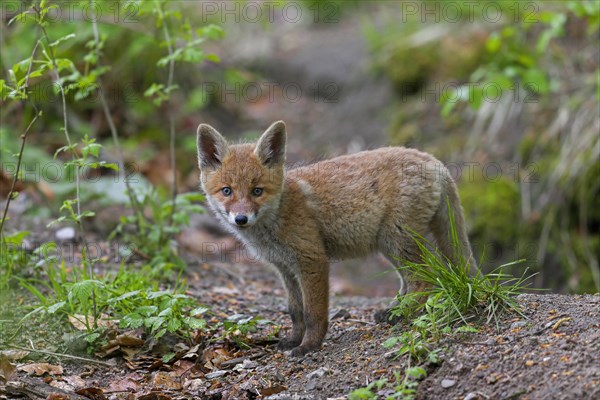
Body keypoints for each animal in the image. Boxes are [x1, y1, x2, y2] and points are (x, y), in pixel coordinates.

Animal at [197, 119, 478, 356]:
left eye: (257, 191)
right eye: (227, 191)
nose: (241, 219)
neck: (279, 214)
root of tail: (431, 159)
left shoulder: (312, 261)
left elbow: (313, 313)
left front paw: (309, 346)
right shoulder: (285, 268)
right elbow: (295, 311)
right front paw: (293, 340)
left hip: (397, 240)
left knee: (424, 281)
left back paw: (403, 314)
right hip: (389, 245)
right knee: (409, 281)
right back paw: (393, 311)